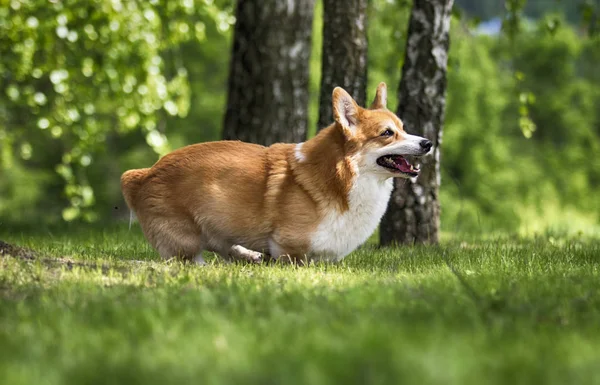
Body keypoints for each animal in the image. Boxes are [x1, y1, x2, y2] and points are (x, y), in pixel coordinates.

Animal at [122, 83, 432, 264]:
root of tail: (142, 175)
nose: (428, 143)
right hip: (187, 239)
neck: (342, 177)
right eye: (387, 134)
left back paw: (248, 255)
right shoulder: (289, 247)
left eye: (403, 128)